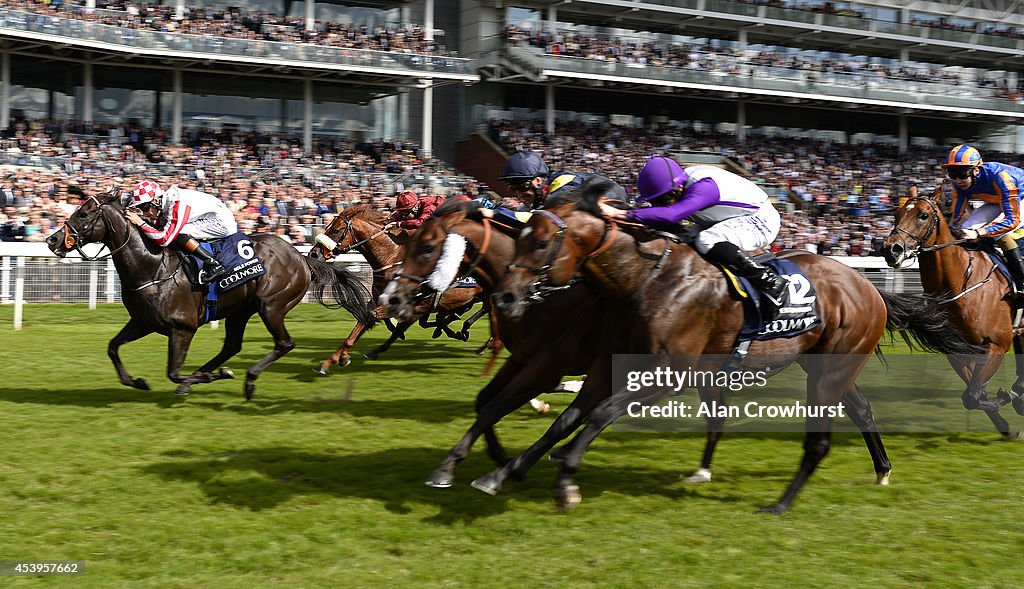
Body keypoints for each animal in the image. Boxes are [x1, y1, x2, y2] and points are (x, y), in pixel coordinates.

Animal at [45, 191, 372, 399]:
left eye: (84, 213)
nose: (52, 240)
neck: (152, 268)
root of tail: (302, 257)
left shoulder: (183, 328)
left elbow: (174, 372)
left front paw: (212, 377)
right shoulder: (142, 322)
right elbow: (113, 347)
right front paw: (136, 381)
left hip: (272, 306)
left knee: (284, 343)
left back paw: (247, 380)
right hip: (240, 310)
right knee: (232, 346)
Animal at [305, 204, 497, 374]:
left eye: (335, 230)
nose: (313, 253)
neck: (393, 258)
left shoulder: (417, 303)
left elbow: (380, 320)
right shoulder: (381, 300)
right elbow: (362, 324)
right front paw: (332, 361)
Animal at [378, 200, 630, 491]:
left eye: (428, 247)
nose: (390, 298)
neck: (542, 297)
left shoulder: (547, 366)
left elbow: (495, 406)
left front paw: (450, 468)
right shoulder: (520, 357)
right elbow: (484, 401)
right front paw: (499, 456)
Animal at [495, 182, 983, 514]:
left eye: (542, 241)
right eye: (520, 235)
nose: (506, 296)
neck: (647, 278)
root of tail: (869, 288)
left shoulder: (668, 374)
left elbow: (597, 415)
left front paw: (566, 482)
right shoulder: (611, 364)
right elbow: (568, 417)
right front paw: (506, 470)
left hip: (830, 372)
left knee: (819, 442)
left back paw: (781, 503)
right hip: (828, 368)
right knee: (862, 411)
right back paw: (881, 471)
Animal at [880, 182, 1024, 436]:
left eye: (923, 215)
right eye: (896, 214)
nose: (891, 249)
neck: (962, 281)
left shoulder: (997, 344)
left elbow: (973, 395)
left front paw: (1007, 397)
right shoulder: (958, 348)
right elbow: (974, 394)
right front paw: (1006, 422)